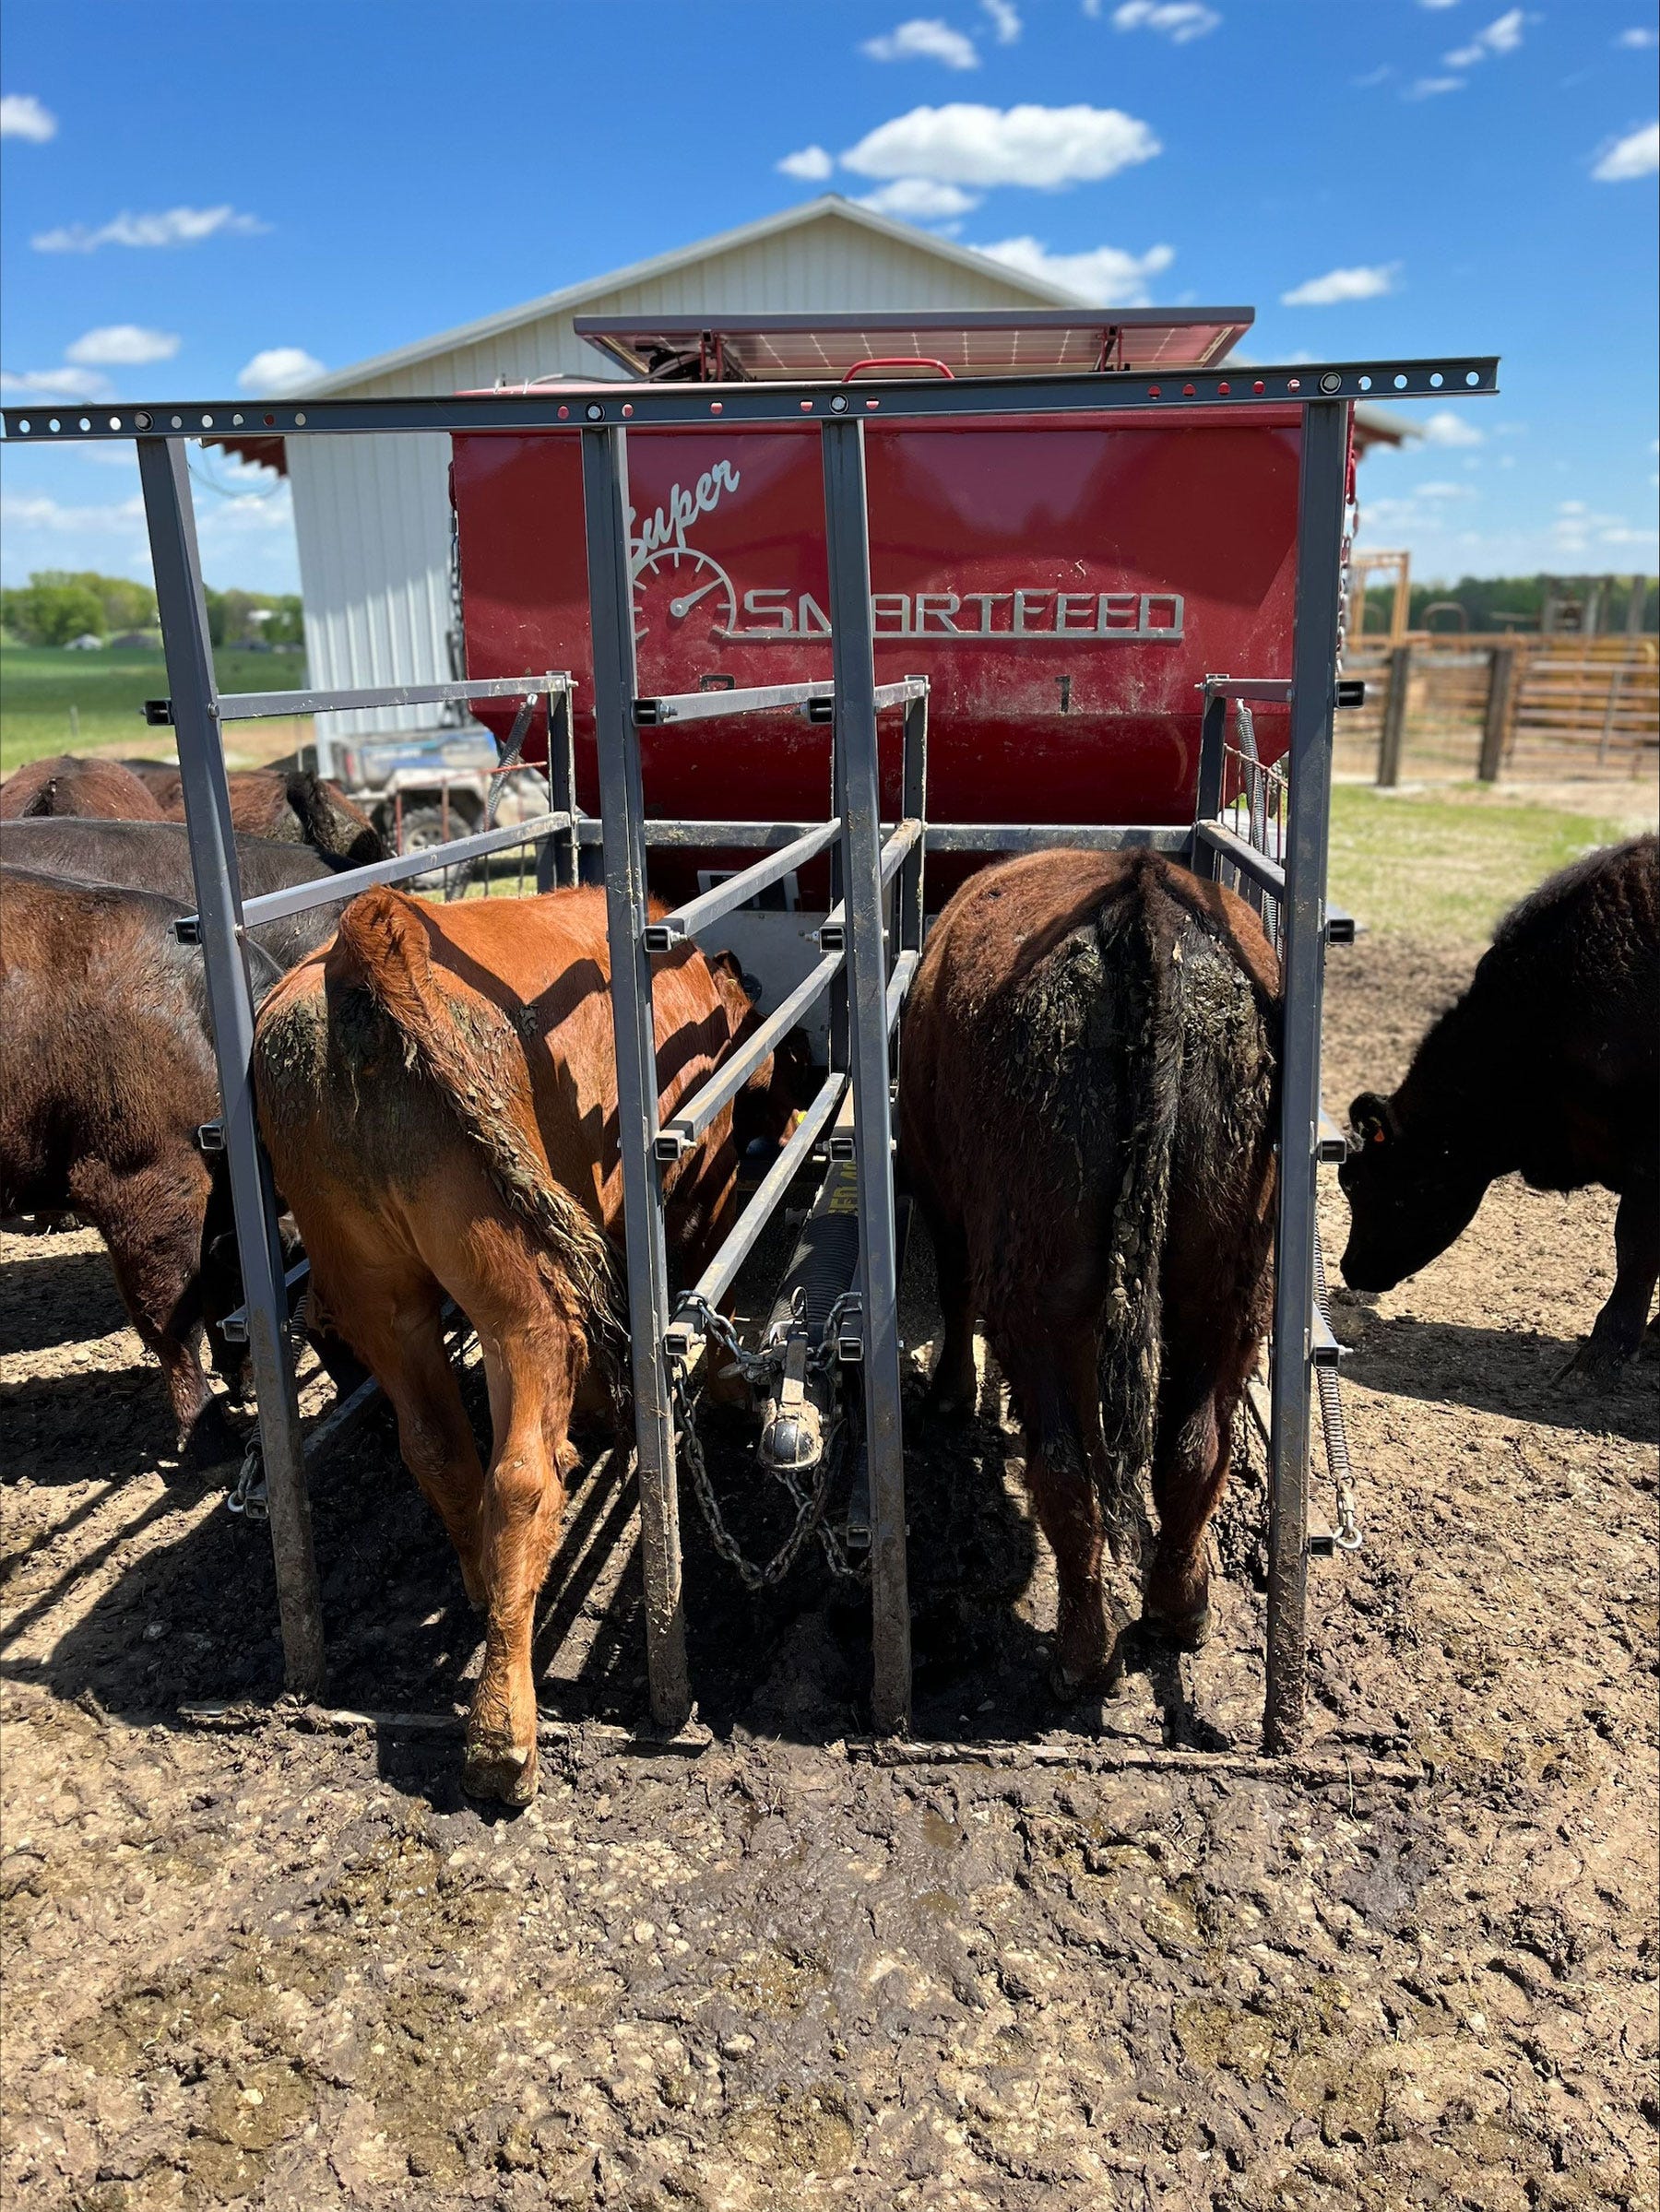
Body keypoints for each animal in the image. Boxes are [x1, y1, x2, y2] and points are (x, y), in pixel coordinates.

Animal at [255, 880, 805, 1795]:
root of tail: (364, 937)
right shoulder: (698, 1183)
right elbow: (695, 1277)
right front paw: (721, 1385)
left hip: (375, 1285)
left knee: (439, 1449)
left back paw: (485, 1586)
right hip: (513, 1279)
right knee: (518, 1474)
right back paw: (500, 1731)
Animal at [903, 845, 1284, 1689]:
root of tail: (1143, 901)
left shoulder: (939, 1188)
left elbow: (953, 1290)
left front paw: (950, 1392)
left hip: (1035, 1289)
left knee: (1062, 1471)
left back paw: (1081, 1654)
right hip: (1227, 1281)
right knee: (1192, 1447)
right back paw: (1182, 1606)